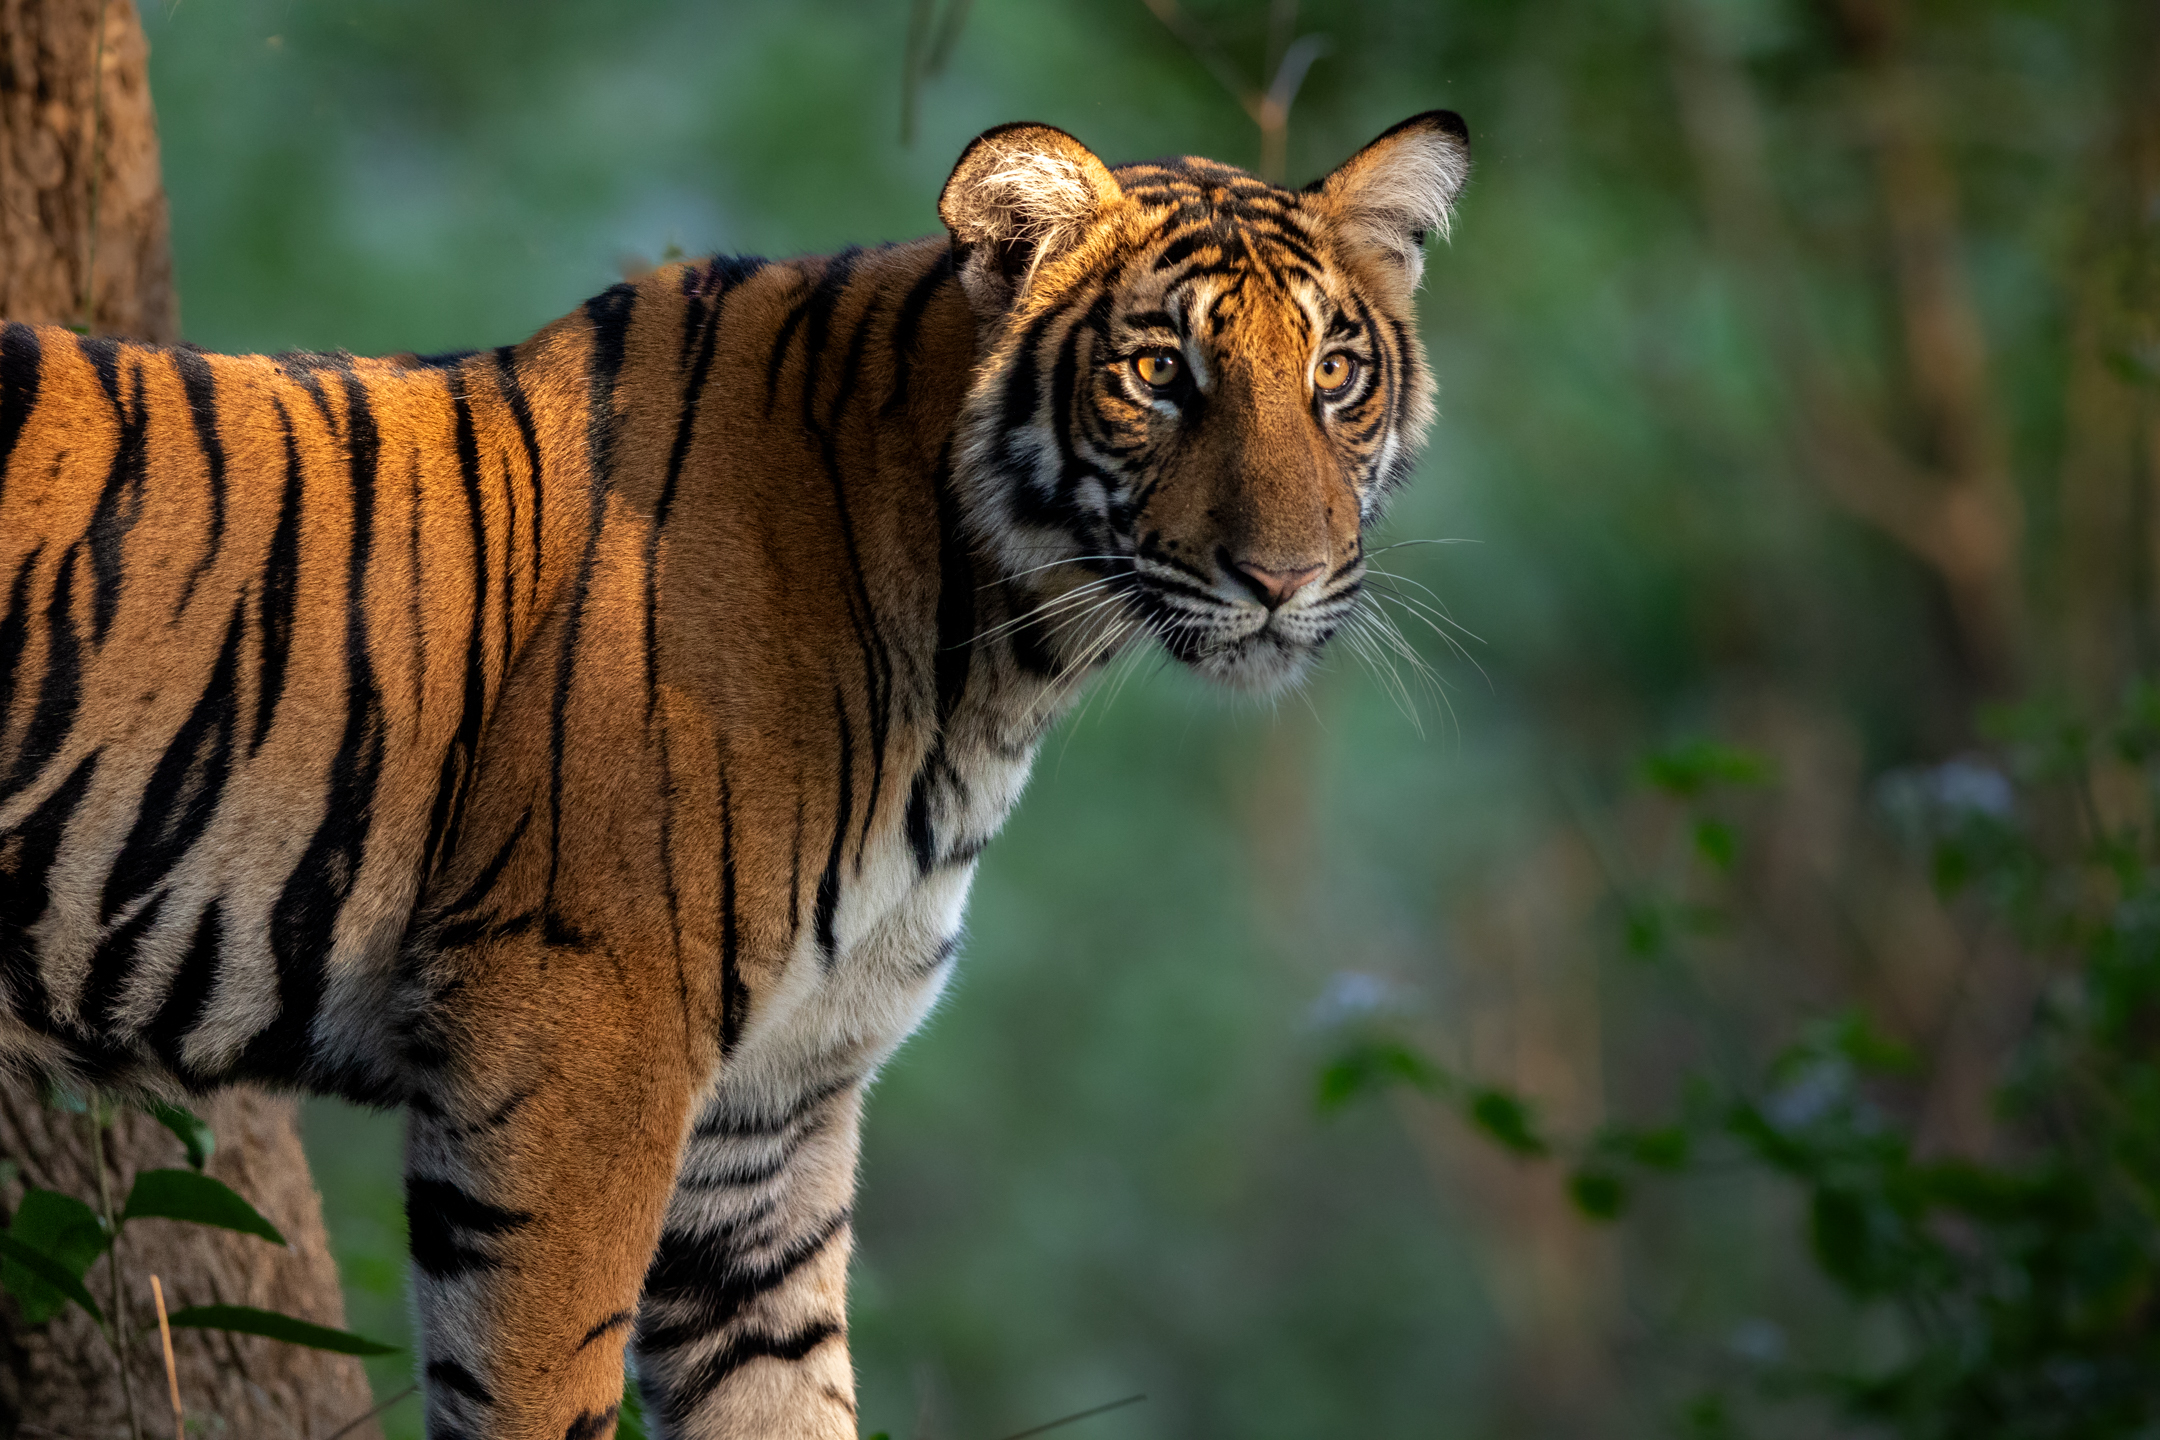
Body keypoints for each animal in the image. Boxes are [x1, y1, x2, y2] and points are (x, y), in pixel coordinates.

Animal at [0, 113, 1469, 1437]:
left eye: (1337, 369)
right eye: (1160, 371)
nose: (1284, 580)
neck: (999, 672)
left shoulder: (770, 1124)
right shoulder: (576, 1046)